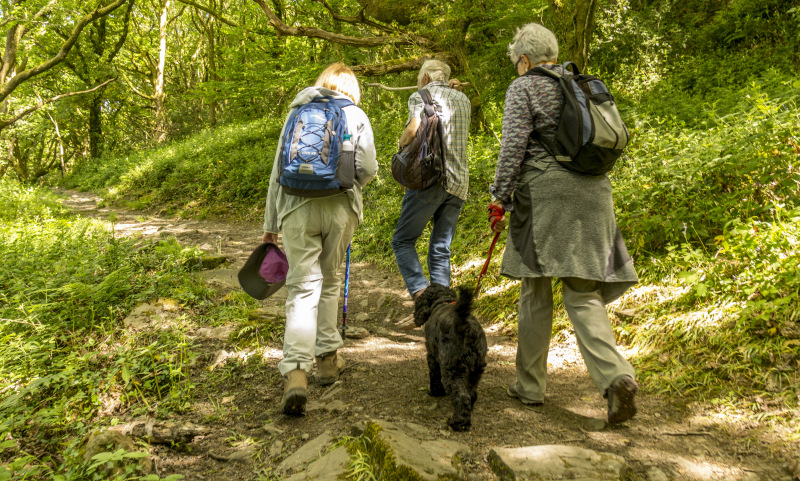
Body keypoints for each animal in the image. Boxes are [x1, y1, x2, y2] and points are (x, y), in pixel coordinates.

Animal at [416, 284, 484, 430]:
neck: (443, 302)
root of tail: (466, 327)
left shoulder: (432, 356)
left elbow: (434, 376)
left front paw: (435, 392)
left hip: (452, 370)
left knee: (462, 396)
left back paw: (457, 423)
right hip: (476, 370)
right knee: (471, 393)